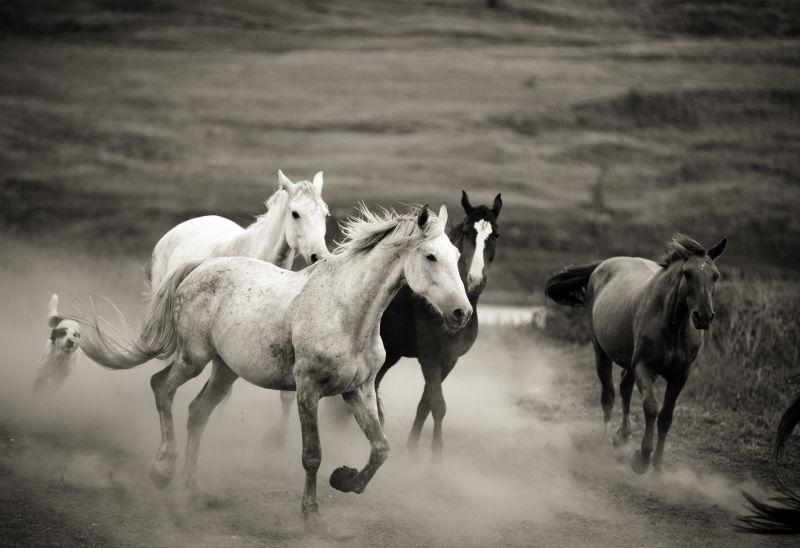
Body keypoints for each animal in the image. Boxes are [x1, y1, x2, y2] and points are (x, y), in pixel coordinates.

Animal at [79, 204, 468, 524]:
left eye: (456, 254)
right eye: (431, 256)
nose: (461, 313)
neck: (347, 313)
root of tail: (200, 266)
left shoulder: (359, 390)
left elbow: (381, 448)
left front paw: (344, 480)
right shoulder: (308, 389)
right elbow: (312, 454)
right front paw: (311, 514)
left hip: (225, 371)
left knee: (197, 413)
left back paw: (193, 487)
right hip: (193, 358)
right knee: (161, 387)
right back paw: (163, 470)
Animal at [376, 189, 500, 458]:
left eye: (495, 235)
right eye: (467, 232)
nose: (476, 280)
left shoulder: (449, 359)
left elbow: (426, 403)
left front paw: (414, 447)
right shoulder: (429, 357)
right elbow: (438, 404)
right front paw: (436, 458)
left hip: (391, 353)